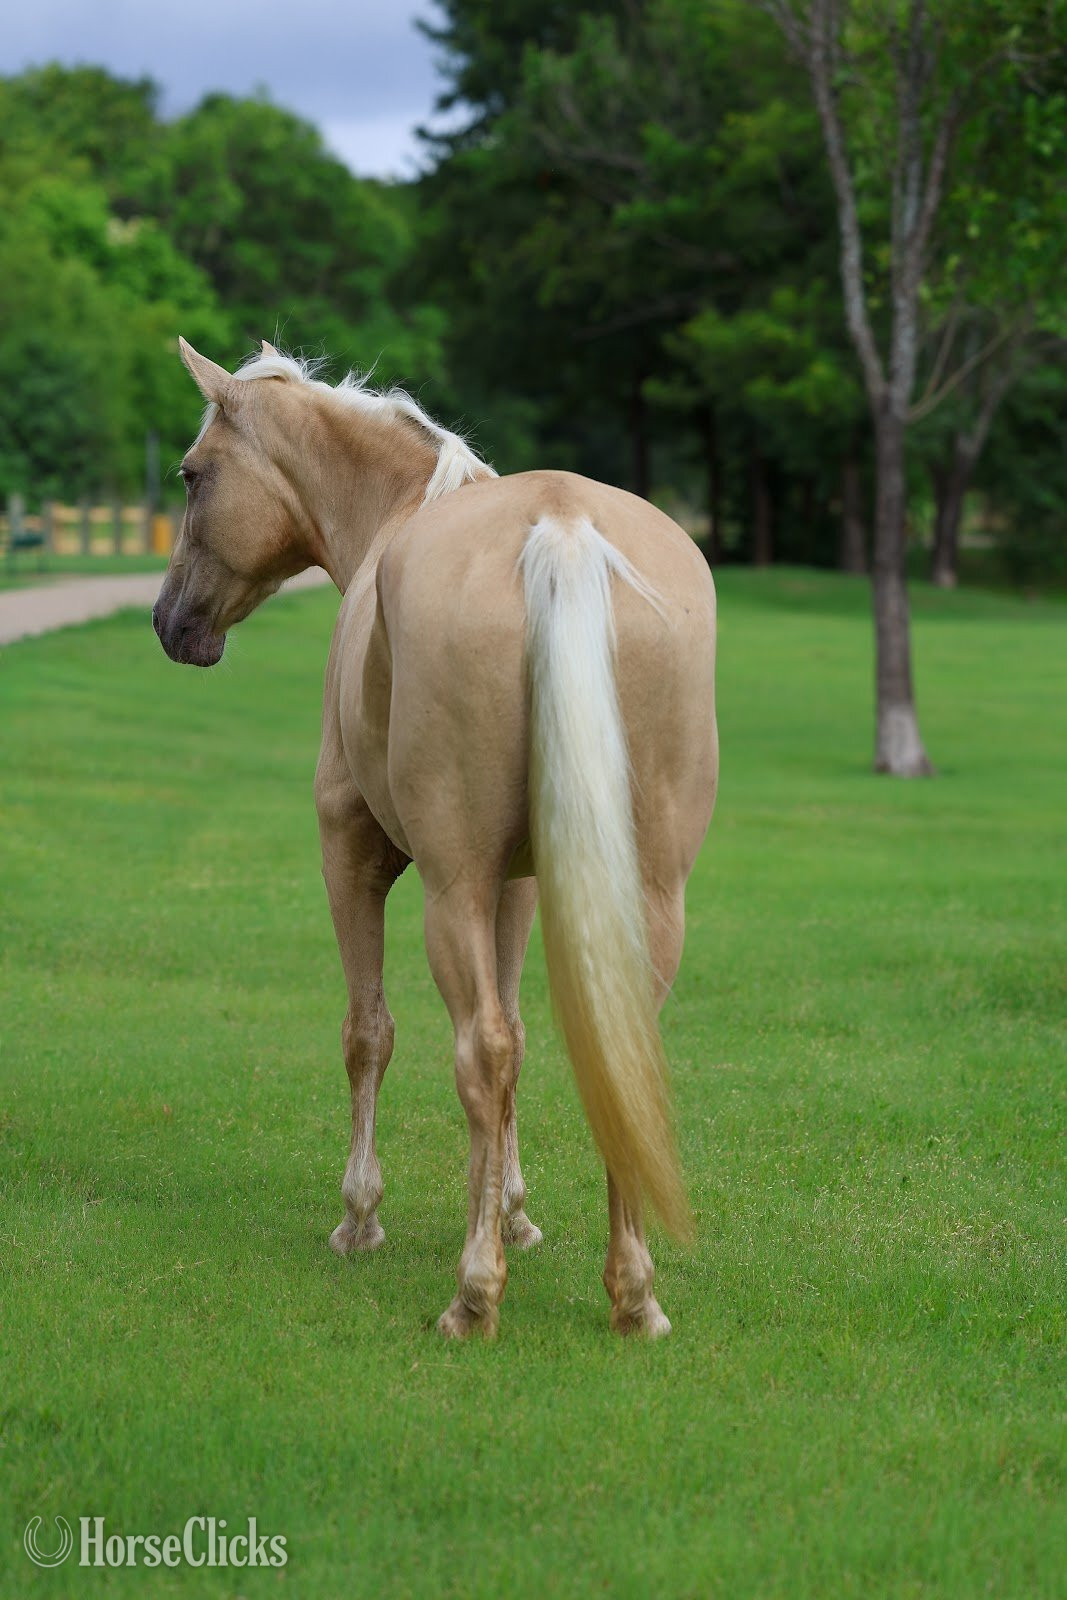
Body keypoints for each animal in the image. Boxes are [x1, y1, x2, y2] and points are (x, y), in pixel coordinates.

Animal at [153, 338, 718, 1338]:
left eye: (192, 474)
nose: (169, 622)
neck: (401, 511)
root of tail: (561, 529)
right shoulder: (522, 883)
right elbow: (525, 1034)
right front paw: (514, 1211)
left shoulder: (355, 857)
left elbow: (369, 1032)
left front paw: (361, 1218)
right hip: (641, 892)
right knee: (615, 1048)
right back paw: (633, 1296)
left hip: (450, 888)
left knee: (478, 1050)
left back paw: (474, 1292)